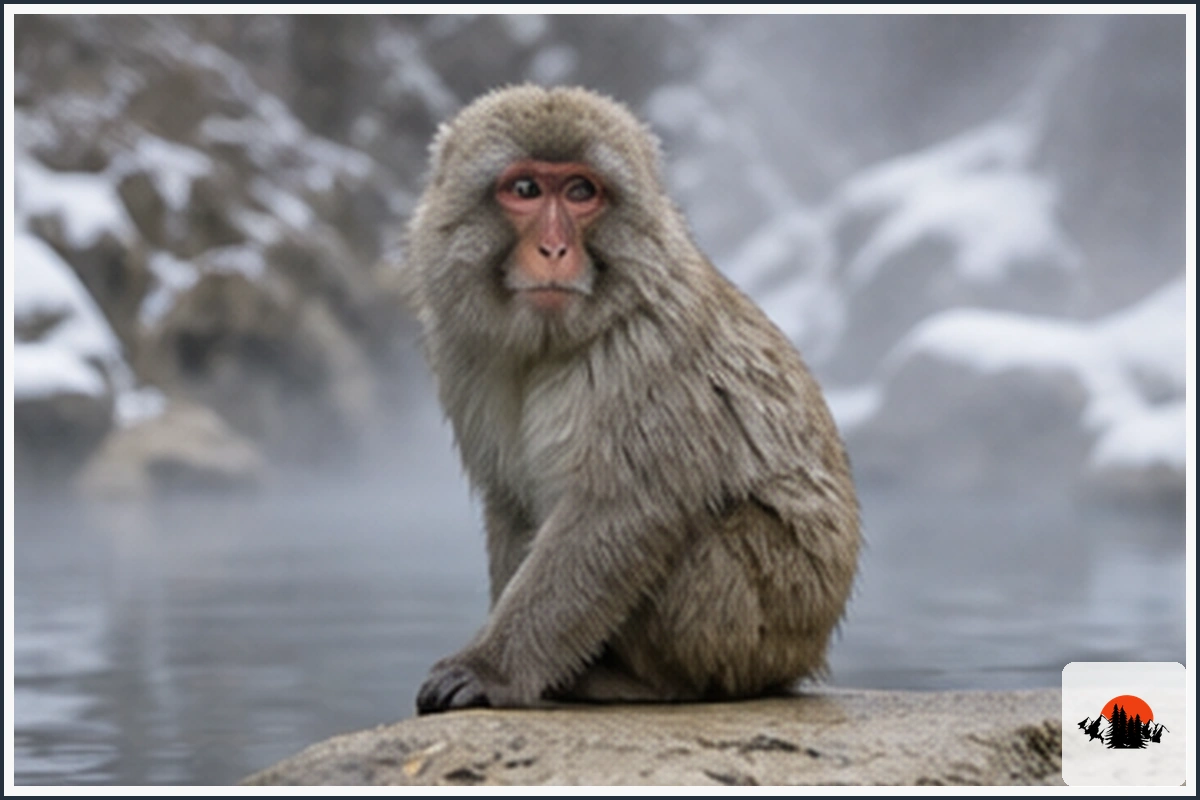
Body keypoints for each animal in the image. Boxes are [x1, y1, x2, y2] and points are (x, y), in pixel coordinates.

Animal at [403, 85, 860, 714]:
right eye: (526, 189)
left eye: (580, 192)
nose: (553, 247)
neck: (550, 340)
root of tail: (808, 656)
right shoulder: (463, 353)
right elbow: (510, 499)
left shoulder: (652, 353)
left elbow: (620, 511)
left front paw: (491, 669)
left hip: (766, 618)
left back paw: (648, 683)